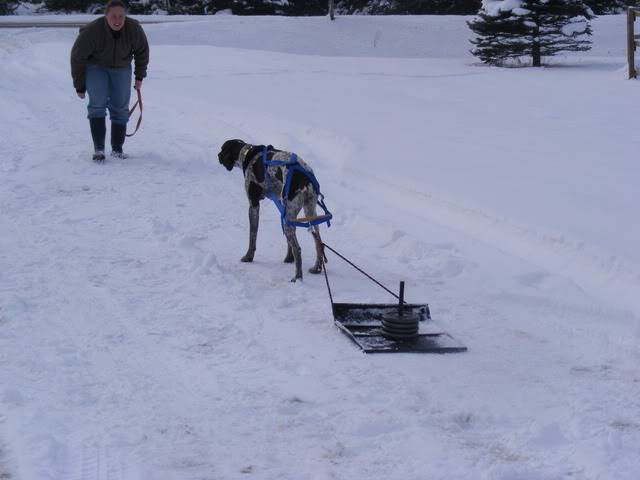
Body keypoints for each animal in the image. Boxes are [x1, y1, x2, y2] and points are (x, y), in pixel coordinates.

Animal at [219, 139, 328, 282]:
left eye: (222, 149)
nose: (218, 155)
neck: (247, 153)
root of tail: (305, 177)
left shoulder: (254, 205)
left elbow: (252, 237)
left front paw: (248, 257)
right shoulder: (283, 209)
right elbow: (288, 241)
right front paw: (288, 258)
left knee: (298, 249)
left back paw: (297, 277)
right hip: (308, 212)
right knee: (318, 242)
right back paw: (316, 268)